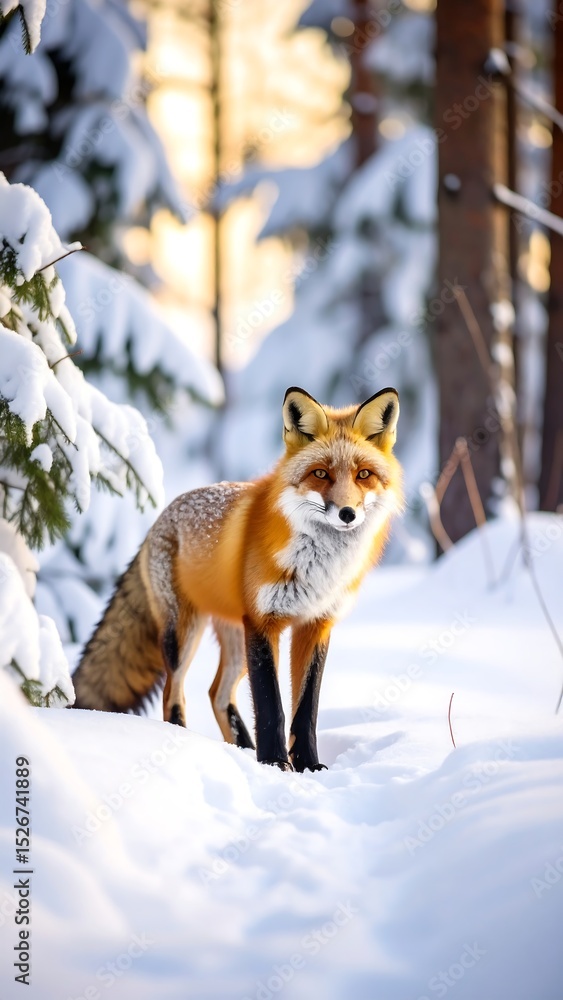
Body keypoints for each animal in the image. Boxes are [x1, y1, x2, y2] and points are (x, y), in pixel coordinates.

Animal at [72, 386, 403, 771]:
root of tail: (159, 519)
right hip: (184, 635)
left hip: (234, 640)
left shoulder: (316, 625)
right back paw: (187, 741)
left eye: (363, 474)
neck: (320, 567)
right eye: (321, 474)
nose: (347, 513)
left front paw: (307, 764)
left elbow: (306, 710)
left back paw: (242, 749)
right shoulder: (263, 622)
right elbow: (271, 705)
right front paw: (274, 762)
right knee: (174, 692)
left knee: (217, 693)